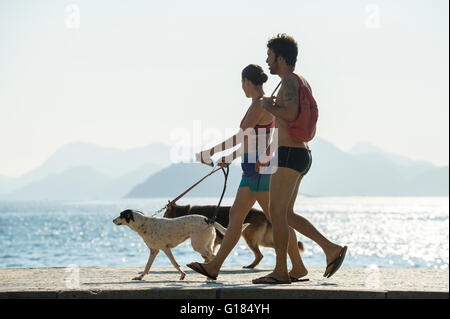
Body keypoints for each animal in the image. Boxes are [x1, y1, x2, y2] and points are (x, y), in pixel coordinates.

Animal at [163, 204, 304, 268]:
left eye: (165, 214)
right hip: (261, 239)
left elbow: (209, 253)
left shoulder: (214, 241)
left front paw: (207, 260)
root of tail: (263, 213)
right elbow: (209, 253)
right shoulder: (214, 241)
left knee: (260, 254)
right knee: (272, 248)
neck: (186, 212)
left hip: (250, 238)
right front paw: (207, 261)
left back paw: (251, 266)